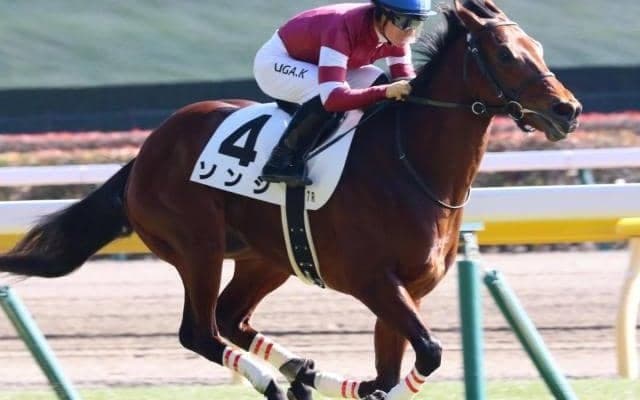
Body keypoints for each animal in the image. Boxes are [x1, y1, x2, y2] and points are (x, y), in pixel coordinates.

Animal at [0, 1, 581, 399]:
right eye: (505, 54)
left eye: (539, 48)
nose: (568, 110)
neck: (410, 166)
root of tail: (144, 153)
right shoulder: (375, 282)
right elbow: (428, 356)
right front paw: (368, 387)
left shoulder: (406, 291)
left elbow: (393, 368)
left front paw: (361, 384)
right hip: (197, 248)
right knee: (199, 331)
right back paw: (277, 381)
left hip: (267, 257)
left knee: (232, 318)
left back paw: (302, 373)